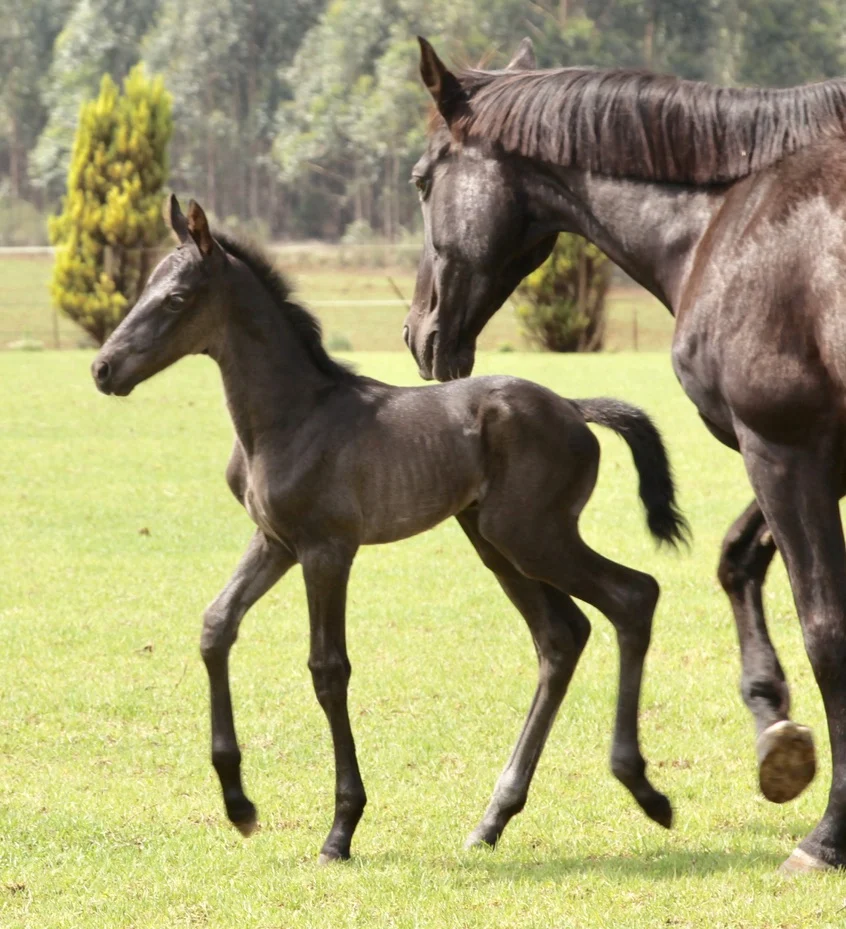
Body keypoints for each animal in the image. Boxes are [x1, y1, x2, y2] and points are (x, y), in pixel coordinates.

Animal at [93, 196, 688, 864]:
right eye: (145, 288)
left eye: (175, 299)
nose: (103, 368)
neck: (292, 418)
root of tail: (573, 408)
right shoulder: (275, 543)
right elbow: (216, 626)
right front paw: (240, 805)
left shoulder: (327, 550)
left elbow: (328, 669)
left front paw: (341, 828)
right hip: (496, 542)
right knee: (561, 635)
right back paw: (493, 819)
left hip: (533, 536)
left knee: (632, 595)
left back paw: (644, 790)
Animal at [404, 38, 846, 876]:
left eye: (420, 180)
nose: (420, 331)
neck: (730, 216)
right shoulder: (802, 449)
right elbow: (737, 558)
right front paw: (773, 724)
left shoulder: (783, 448)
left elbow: (826, 625)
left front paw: (828, 833)